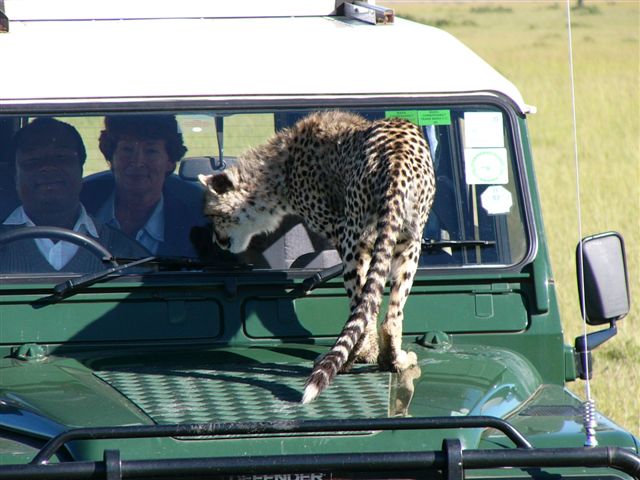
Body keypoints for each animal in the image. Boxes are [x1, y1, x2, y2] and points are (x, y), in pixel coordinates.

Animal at [200, 110, 436, 404]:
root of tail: (397, 157)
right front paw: (373, 354)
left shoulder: (339, 230)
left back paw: (349, 360)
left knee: (361, 306)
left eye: (212, 214)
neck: (279, 170)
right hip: (410, 241)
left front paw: (364, 354)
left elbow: (361, 304)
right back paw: (394, 361)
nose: (215, 240)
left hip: (355, 237)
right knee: (391, 317)